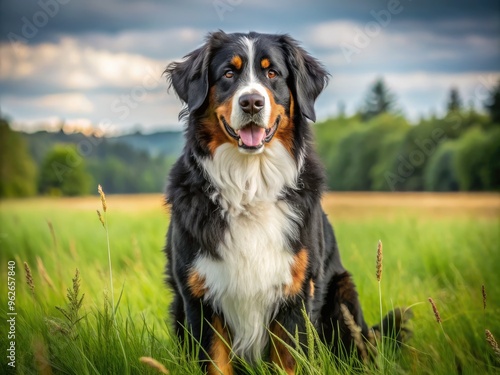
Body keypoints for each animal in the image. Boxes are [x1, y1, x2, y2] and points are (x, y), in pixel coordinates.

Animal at [164, 30, 406, 374]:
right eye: (228, 74)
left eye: (273, 73)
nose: (252, 102)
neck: (250, 185)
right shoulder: (199, 296)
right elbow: (215, 363)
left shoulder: (296, 295)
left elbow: (289, 360)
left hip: (342, 295)